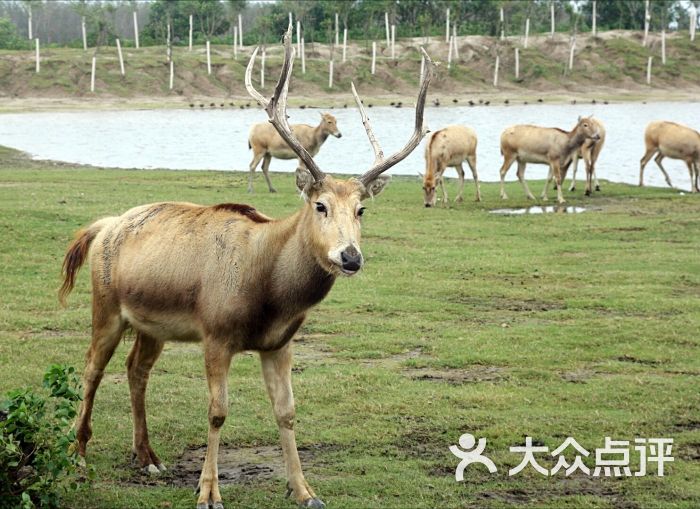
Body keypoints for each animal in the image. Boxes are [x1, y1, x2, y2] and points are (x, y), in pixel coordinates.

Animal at [58, 25, 432, 508]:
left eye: (361, 210)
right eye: (320, 205)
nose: (350, 257)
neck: (269, 292)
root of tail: (103, 225)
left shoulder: (280, 343)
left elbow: (287, 412)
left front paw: (304, 490)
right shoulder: (216, 334)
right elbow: (218, 412)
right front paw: (208, 492)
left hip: (151, 324)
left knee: (136, 369)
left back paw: (147, 456)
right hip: (104, 305)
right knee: (91, 368)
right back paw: (78, 455)